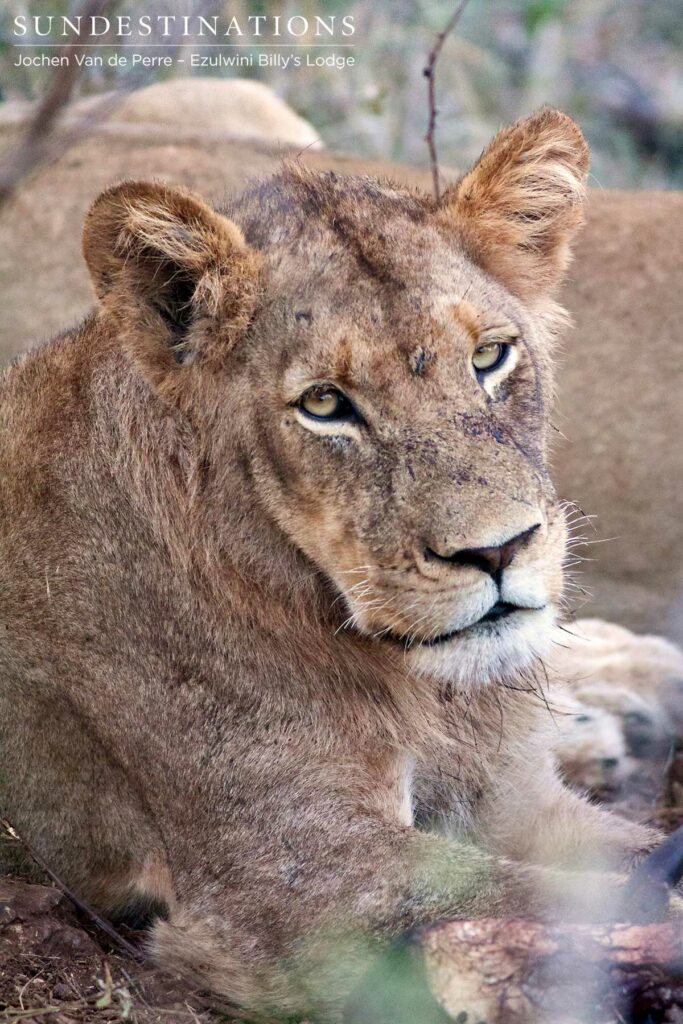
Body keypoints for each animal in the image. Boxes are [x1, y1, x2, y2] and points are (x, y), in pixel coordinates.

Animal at [0, 109, 680, 1015]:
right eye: (325, 404)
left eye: (490, 357)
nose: (497, 549)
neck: (419, 690)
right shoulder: (295, 873)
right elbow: (551, 898)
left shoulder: (514, 799)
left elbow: (632, 856)